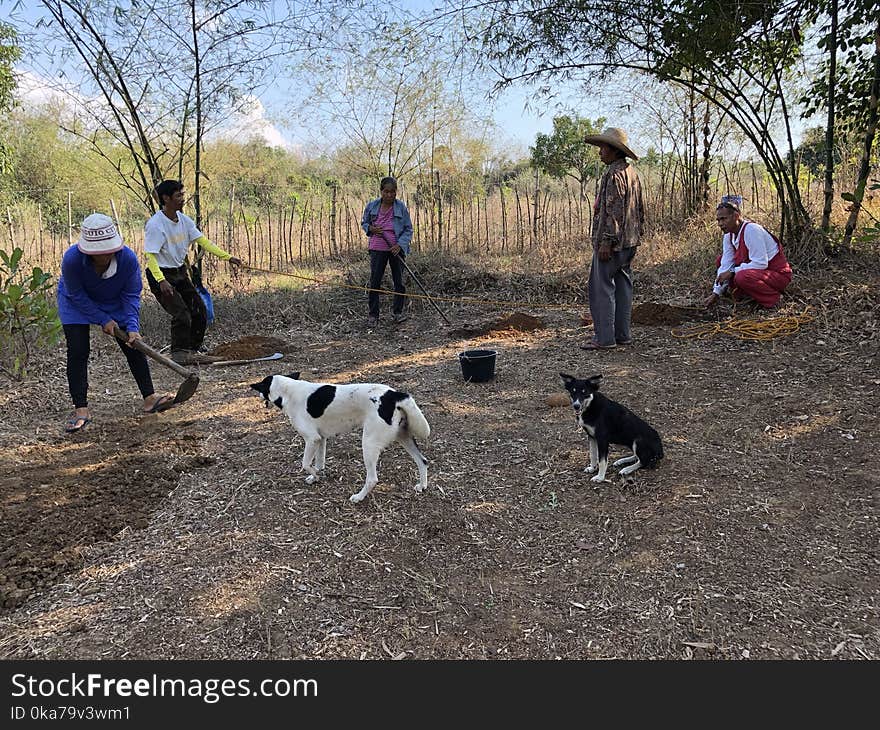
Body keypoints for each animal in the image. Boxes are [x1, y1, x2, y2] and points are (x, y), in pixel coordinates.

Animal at [249, 372, 432, 504]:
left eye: (261, 388)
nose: (258, 396)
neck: (288, 390)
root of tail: (393, 395)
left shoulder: (311, 439)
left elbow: (306, 464)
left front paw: (314, 475)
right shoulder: (320, 439)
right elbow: (319, 464)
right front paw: (316, 477)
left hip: (369, 444)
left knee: (372, 479)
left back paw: (359, 497)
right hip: (403, 437)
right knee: (422, 461)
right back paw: (422, 485)